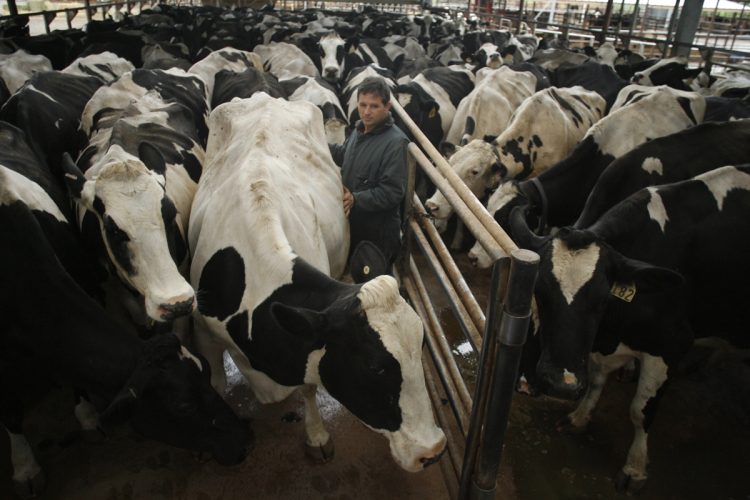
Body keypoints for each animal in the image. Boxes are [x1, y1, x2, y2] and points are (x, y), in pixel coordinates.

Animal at [189, 94, 446, 472]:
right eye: (375, 367)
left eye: (423, 344)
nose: (433, 451)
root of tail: (265, 97)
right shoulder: (202, 328)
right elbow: (214, 383)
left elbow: (309, 387)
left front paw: (317, 437)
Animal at [512, 166, 750, 494]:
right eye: (539, 291)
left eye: (603, 299)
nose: (561, 385)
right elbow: (597, 380)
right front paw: (579, 418)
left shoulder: (671, 344)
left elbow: (640, 411)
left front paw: (634, 469)